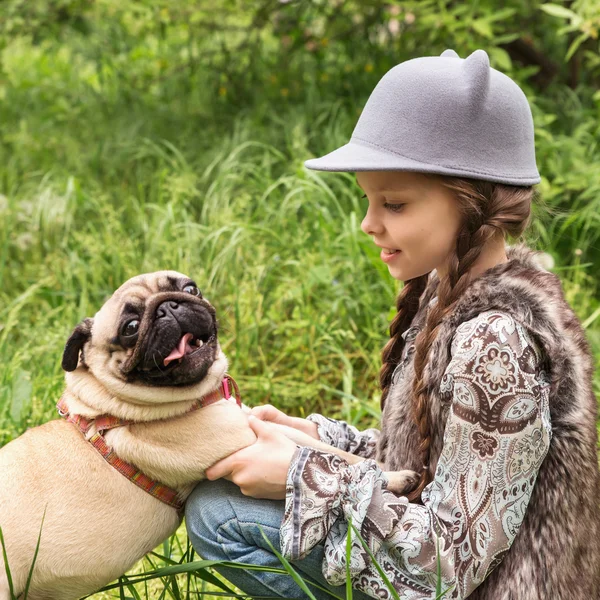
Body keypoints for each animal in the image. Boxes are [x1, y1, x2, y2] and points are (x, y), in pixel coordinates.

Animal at [0, 272, 418, 600]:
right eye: (130, 328)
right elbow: (329, 455)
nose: (170, 307)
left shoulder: (251, 422)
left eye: (190, 288)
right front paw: (392, 477)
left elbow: (317, 444)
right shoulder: (239, 437)